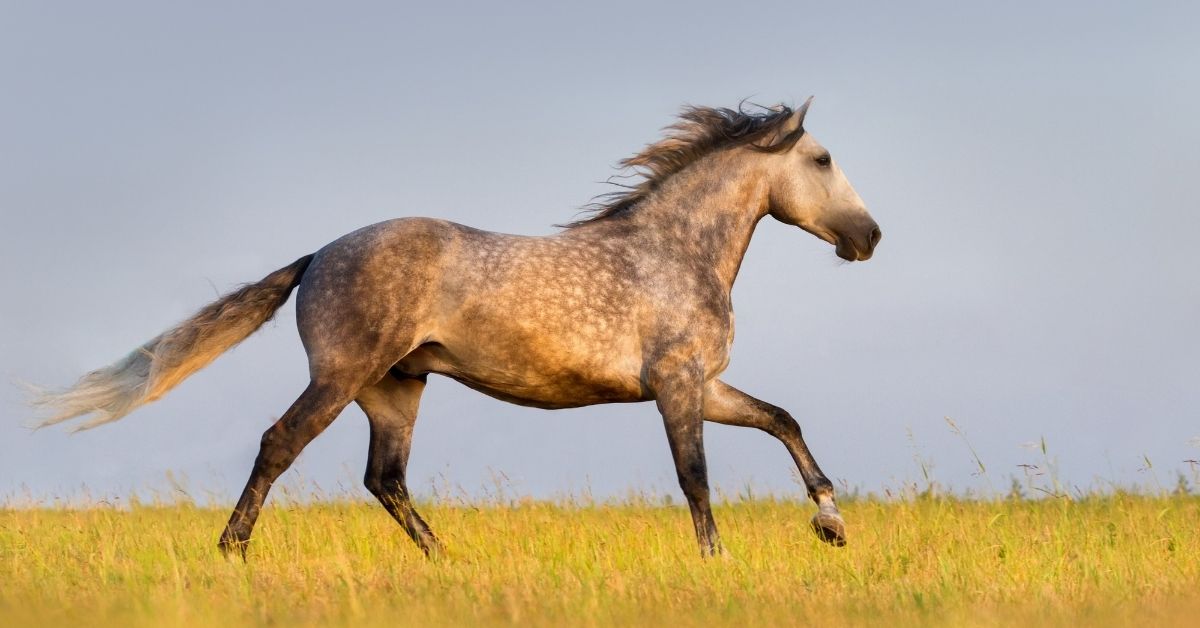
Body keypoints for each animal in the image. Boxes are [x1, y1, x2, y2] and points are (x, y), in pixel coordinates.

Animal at [32, 96, 883, 557]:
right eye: (823, 159)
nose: (869, 237)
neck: (671, 251)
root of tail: (317, 256)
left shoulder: (703, 385)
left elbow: (782, 420)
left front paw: (832, 522)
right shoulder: (676, 387)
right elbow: (696, 476)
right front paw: (717, 558)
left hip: (395, 390)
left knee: (385, 478)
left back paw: (447, 559)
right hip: (341, 377)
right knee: (280, 445)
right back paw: (232, 552)